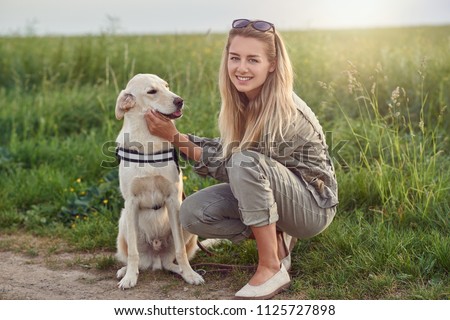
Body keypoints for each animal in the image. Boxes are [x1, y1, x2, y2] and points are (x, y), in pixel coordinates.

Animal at [115, 74, 207, 288]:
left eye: (167, 86)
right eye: (152, 91)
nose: (180, 101)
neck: (148, 140)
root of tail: (155, 260)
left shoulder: (173, 200)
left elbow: (181, 251)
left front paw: (189, 274)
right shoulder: (131, 202)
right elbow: (133, 253)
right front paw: (129, 278)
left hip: (186, 226)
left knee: (170, 261)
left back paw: (182, 271)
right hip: (123, 223)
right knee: (137, 259)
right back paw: (125, 271)